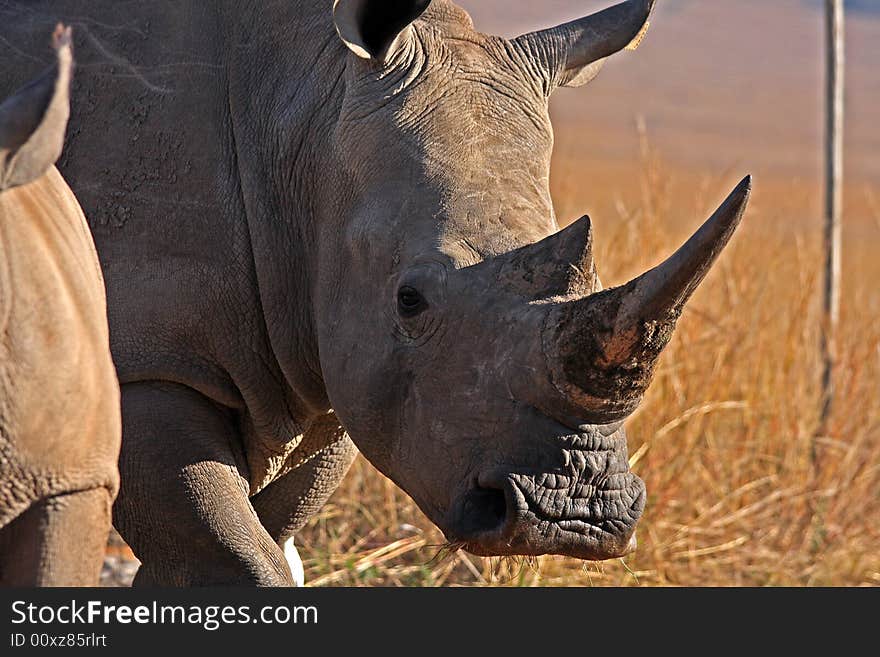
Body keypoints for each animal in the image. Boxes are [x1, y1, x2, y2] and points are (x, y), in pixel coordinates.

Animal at [0, 0, 752, 584]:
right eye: (410, 300)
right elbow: (241, 558)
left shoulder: (327, 360)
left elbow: (259, 535)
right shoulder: (143, 366)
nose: (572, 516)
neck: (299, 109)